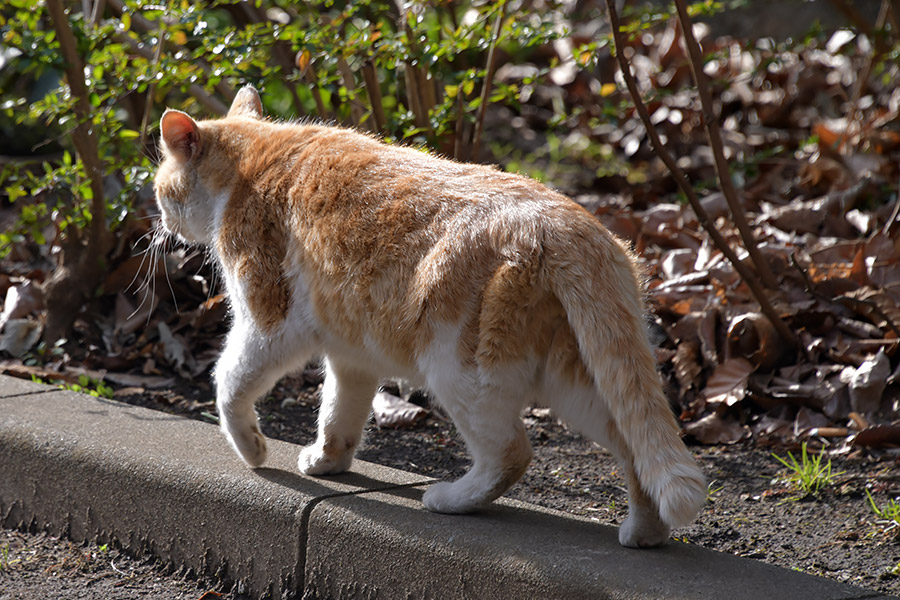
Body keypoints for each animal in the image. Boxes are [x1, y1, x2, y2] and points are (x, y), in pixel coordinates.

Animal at [153, 85, 704, 548]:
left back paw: (449, 499)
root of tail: (571, 226)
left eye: (160, 190)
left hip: (460, 375)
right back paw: (644, 533)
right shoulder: (352, 358)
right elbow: (338, 414)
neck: (253, 159)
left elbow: (228, 383)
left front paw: (252, 450)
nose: (162, 223)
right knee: (635, 446)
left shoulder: (267, 324)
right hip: (578, 382)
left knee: (512, 454)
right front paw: (329, 460)